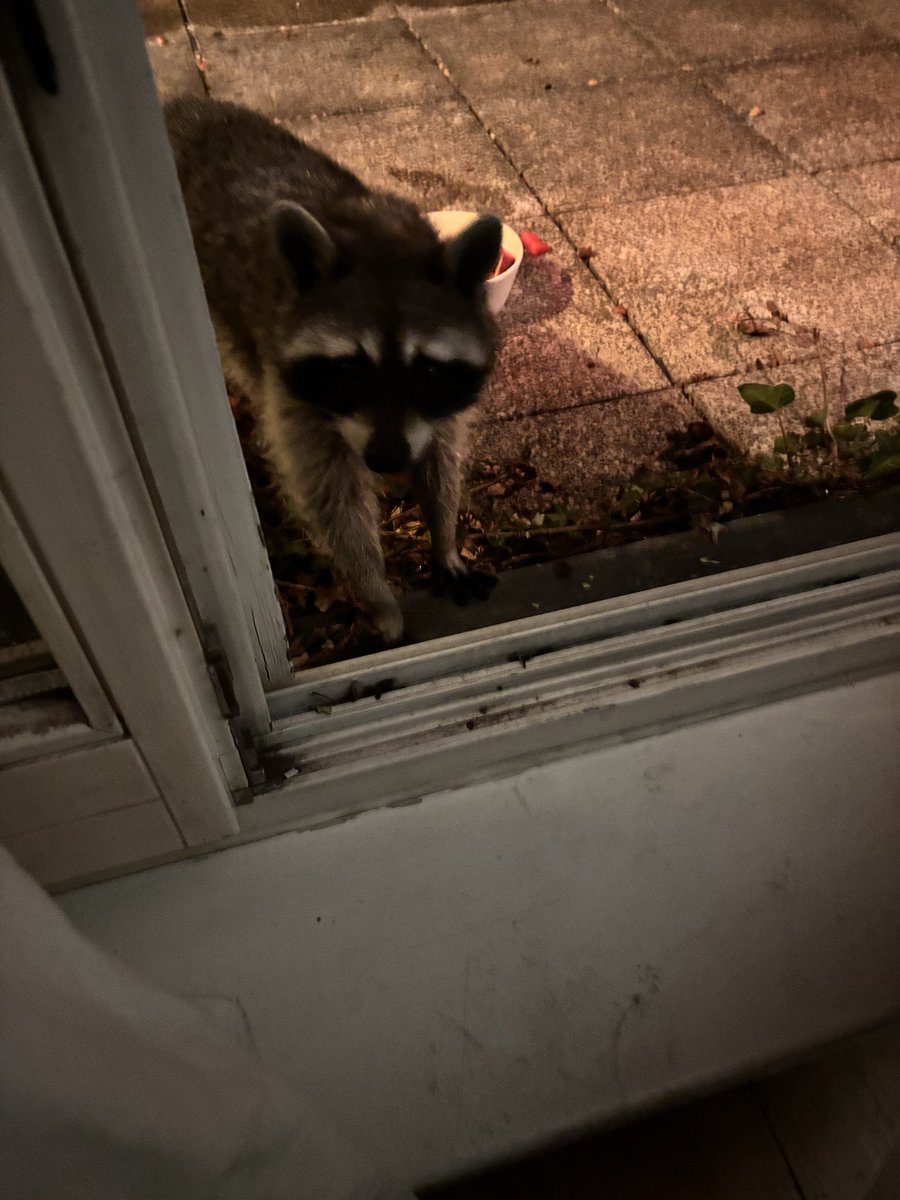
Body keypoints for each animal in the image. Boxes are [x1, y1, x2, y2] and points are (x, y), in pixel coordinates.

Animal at [164, 97, 501, 644]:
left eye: (427, 372)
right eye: (350, 369)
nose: (386, 458)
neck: (378, 239)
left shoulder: (440, 404)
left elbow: (442, 454)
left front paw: (443, 531)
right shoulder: (293, 391)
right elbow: (332, 498)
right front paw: (376, 591)